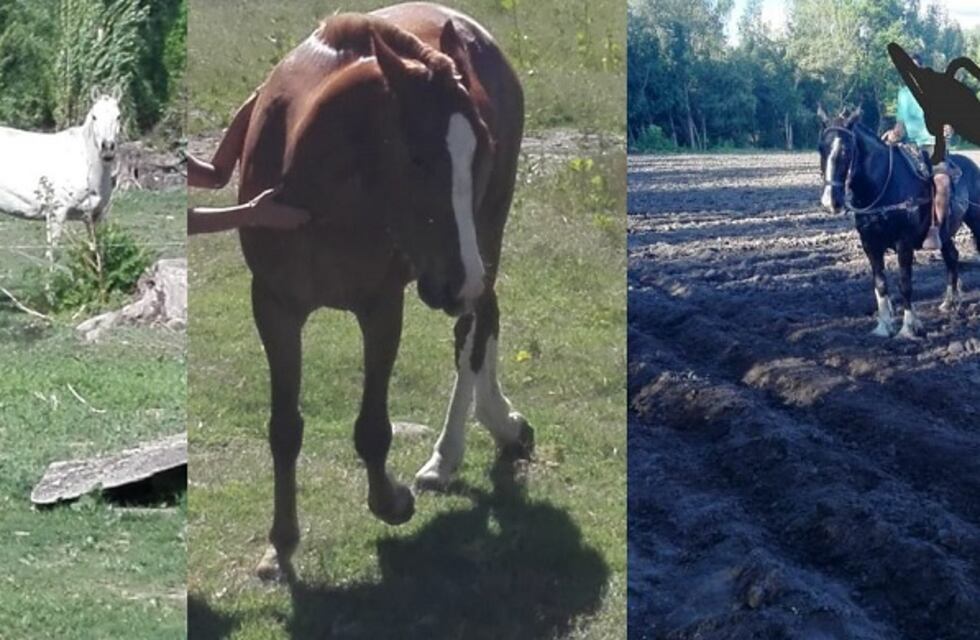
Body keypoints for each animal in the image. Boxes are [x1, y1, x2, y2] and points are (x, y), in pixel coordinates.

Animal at [0, 88, 121, 264]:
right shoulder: (57, 214)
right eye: (94, 116)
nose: (107, 148)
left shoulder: (94, 217)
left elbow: (96, 254)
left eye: (118, 116)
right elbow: (52, 256)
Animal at [207, 2, 533, 582]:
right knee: (483, 317)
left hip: (485, 236)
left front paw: (391, 501)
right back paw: (499, 423)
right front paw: (281, 545)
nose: (458, 281)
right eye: (419, 158)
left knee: (473, 330)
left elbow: (373, 428)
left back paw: (447, 455)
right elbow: (284, 428)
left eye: (482, 151)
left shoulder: (382, 308)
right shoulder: (274, 307)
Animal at [817, 108, 980, 338]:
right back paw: (949, 302)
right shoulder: (870, 244)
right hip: (944, 233)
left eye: (846, 151)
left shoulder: (904, 243)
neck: (882, 187)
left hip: (976, 219)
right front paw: (884, 325)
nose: (830, 202)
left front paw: (909, 327)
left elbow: (905, 283)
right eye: (820, 148)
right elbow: (880, 284)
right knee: (952, 257)